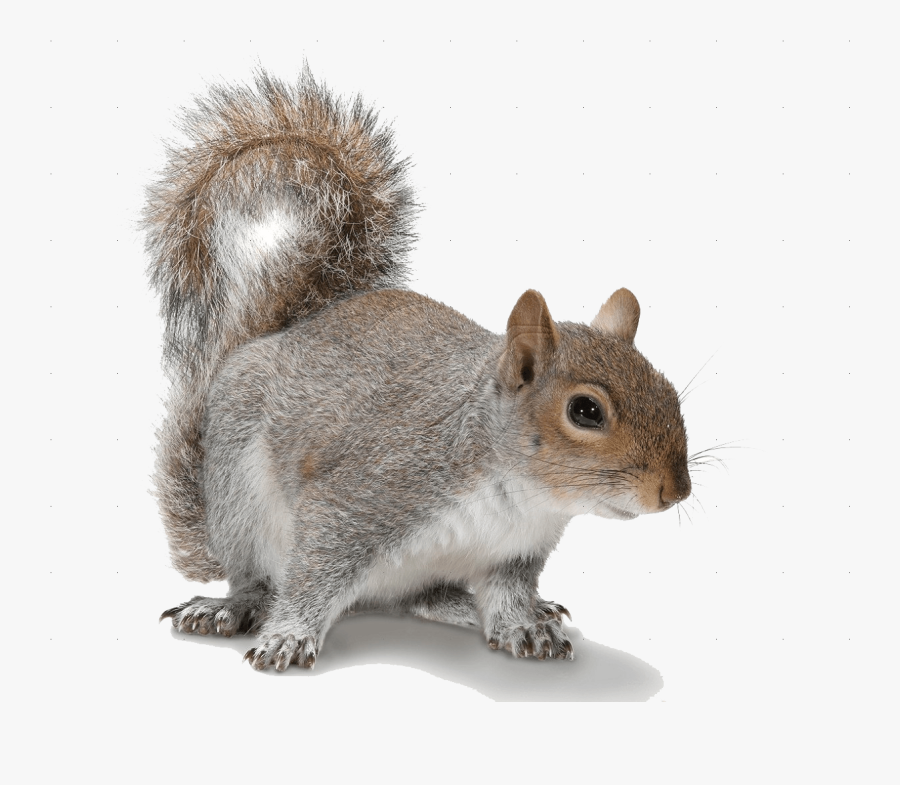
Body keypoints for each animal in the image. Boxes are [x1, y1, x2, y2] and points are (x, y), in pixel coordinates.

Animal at [145, 67, 692, 671]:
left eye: (671, 392)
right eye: (586, 410)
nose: (676, 491)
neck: (518, 496)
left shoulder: (514, 553)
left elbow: (507, 594)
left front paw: (525, 625)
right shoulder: (366, 494)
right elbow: (313, 573)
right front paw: (287, 635)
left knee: (419, 598)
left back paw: (478, 606)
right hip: (238, 494)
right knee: (258, 579)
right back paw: (231, 607)